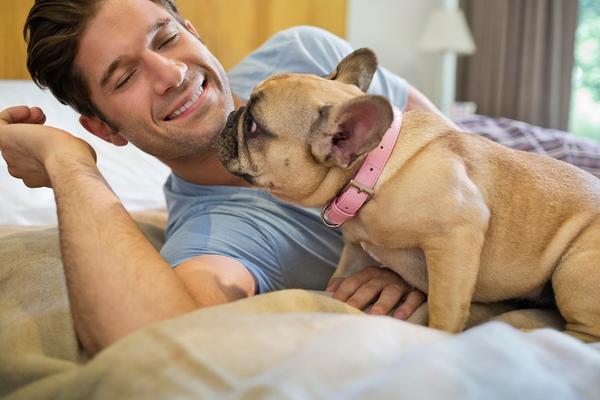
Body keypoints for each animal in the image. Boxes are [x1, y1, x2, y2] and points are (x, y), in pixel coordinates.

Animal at [219, 47, 600, 340]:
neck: (374, 170)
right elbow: (339, 279)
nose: (231, 115)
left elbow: (445, 308)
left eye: (253, 125)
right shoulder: (356, 250)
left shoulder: (457, 235)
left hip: (574, 269)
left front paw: (439, 337)